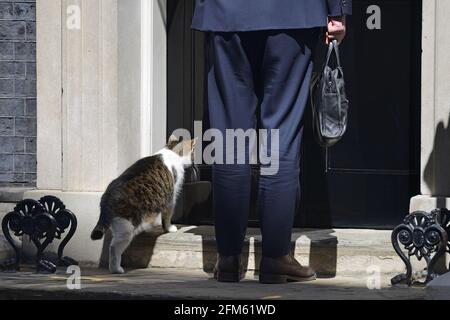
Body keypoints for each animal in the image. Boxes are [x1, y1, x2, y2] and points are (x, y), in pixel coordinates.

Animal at [90, 136, 196, 274]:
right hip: (126, 227)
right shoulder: (171, 199)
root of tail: (107, 196)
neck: (171, 150)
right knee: (114, 248)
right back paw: (117, 269)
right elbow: (167, 217)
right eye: (193, 152)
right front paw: (169, 228)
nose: (194, 162)